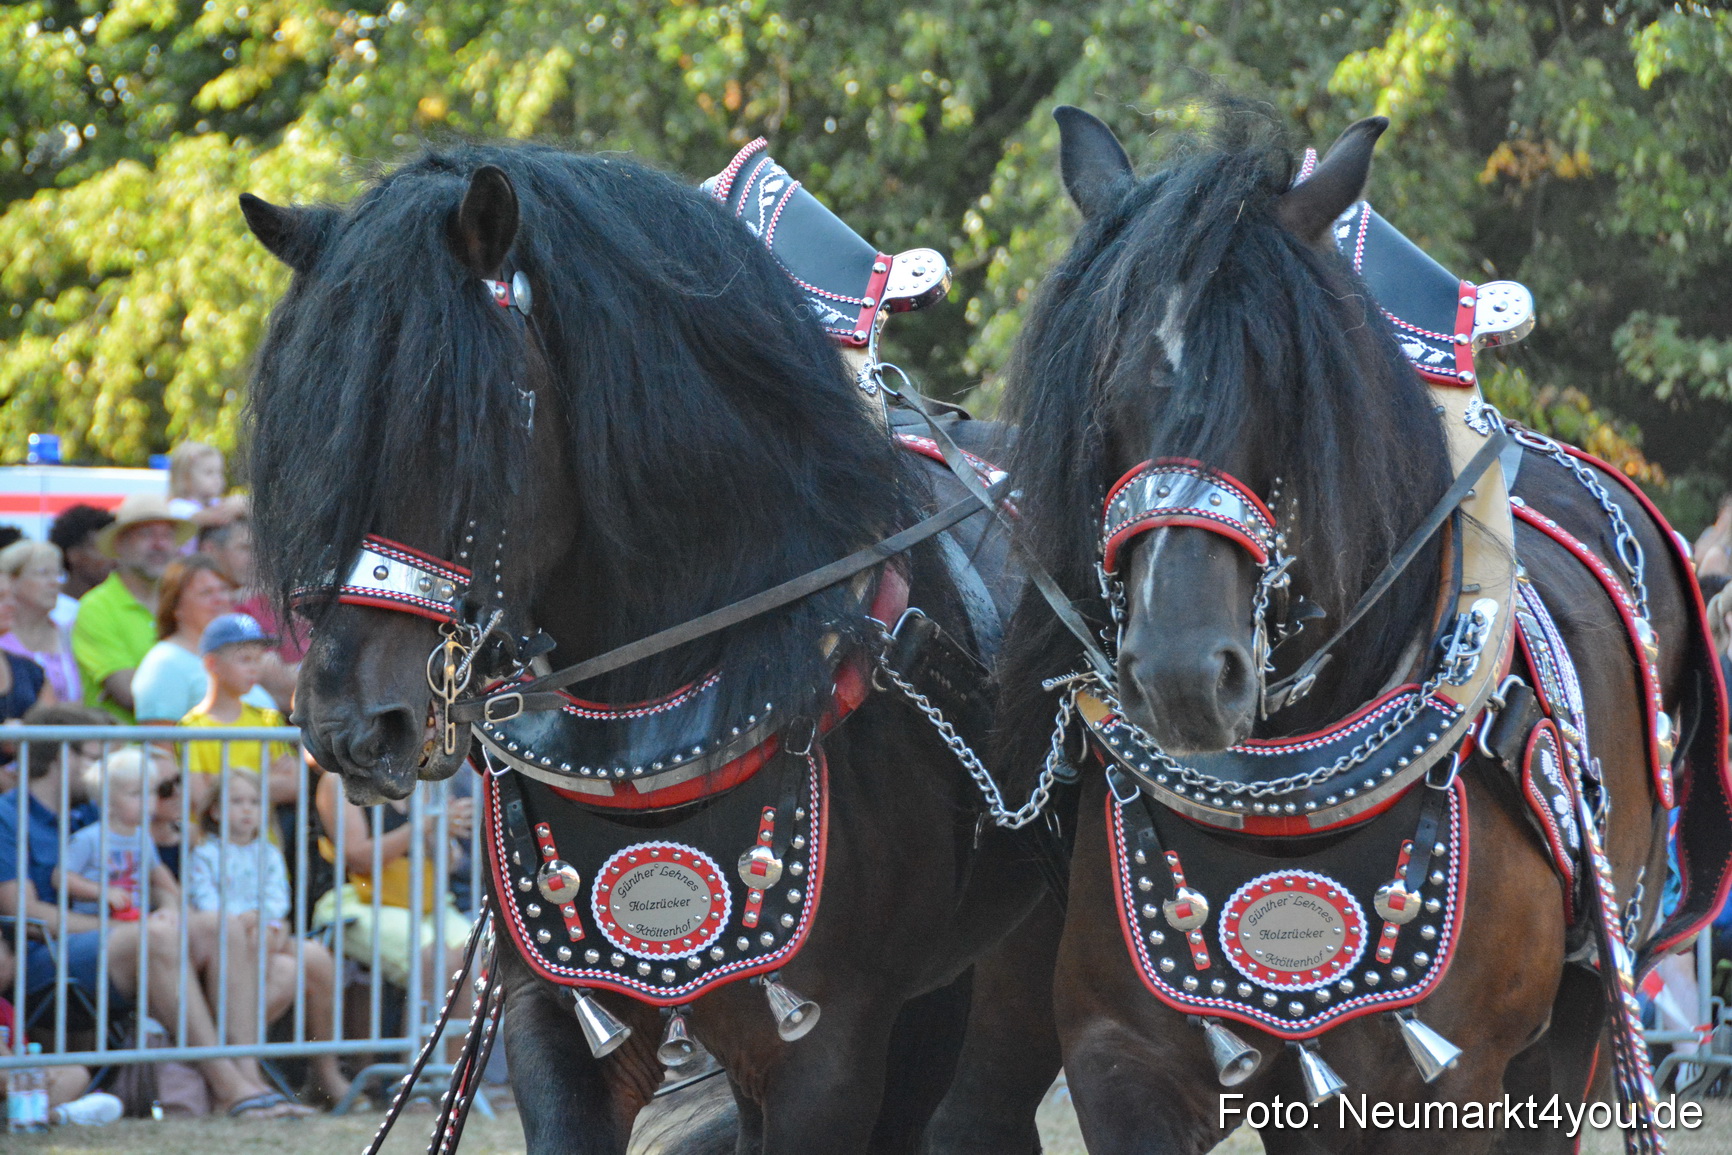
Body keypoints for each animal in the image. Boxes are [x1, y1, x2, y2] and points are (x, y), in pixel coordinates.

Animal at [992, 103, 1729, 1154]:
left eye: (1284, 386)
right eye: (1107, 394)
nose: (1180, 677)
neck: (1285, 821)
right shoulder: (1122, 1059)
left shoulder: (1452, 1084)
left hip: (1582, 1010)